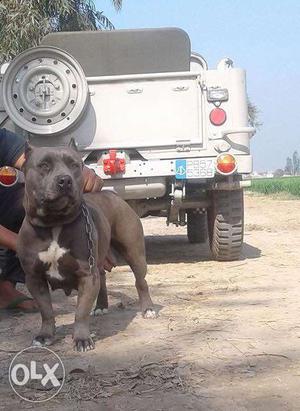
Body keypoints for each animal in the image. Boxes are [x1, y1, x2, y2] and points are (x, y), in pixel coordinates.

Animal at [16, 143, 156, 352]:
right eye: (44, 165)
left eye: (74, 165)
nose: (65, 180)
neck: (54, 222)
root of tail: (112, 194)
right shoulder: (34, 278)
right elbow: (46, 310)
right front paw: (45, 336)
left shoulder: (86, 275)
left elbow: (81, 312)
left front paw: (82, 339)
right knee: (103, 278)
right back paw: (101, 306)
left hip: (134, 253)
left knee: (141, 281)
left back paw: (148, 309)